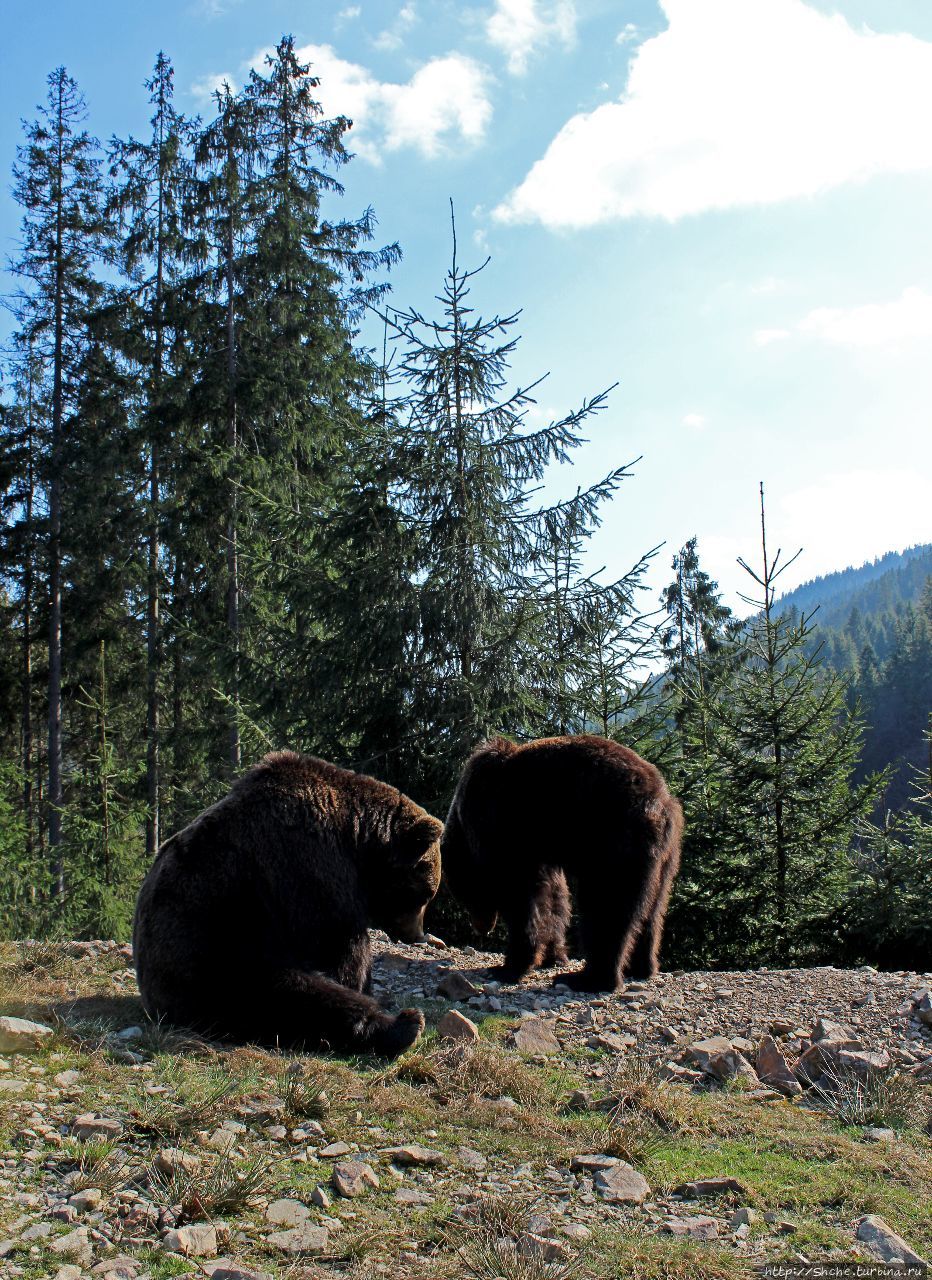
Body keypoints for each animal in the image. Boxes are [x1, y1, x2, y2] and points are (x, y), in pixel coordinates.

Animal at [131, 747, 442, 1059]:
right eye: (426, 894)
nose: (417, 934)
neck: (354, 839)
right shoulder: (305, 867)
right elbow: (335, 945)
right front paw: (360, 984)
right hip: (218, 969)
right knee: (295, 997)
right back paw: (404, 1025)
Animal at [440, 737, 681, 993]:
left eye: (468, 898)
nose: (482, 928)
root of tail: (660, 803)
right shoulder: (543, 851)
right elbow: (554, 899)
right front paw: (552, 956)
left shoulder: (502, 830)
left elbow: (521, 899)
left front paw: (509, 966)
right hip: (666, 857)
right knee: (653, 909)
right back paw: (641, 967)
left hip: (612, 841)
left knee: (606, 907)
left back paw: (589, 978)